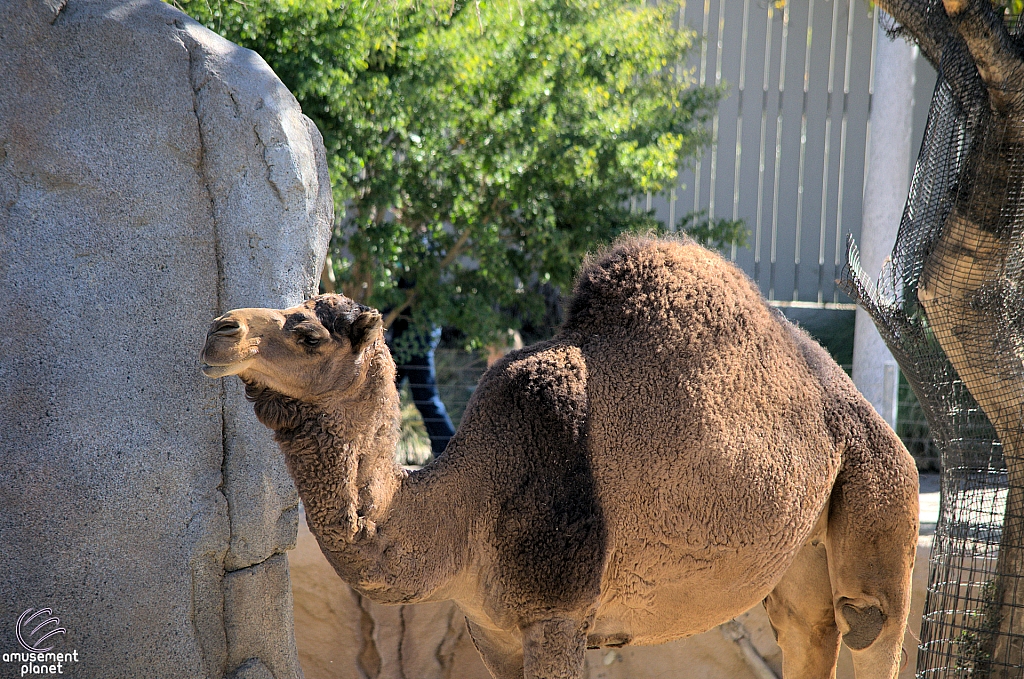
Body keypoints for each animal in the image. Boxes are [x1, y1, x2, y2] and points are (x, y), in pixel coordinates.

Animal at [201, 236, 921, 675]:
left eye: (308, 334)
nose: (219, 329)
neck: (467, 504)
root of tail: (861, 406)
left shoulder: (559, 613)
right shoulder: (492, 630)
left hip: (879, 485)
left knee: (871, 620)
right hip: (800, 553)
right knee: (810, 628)